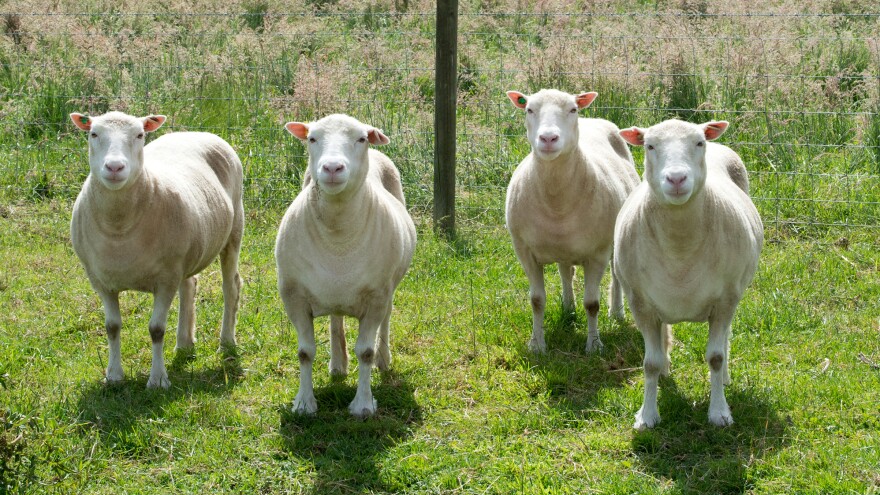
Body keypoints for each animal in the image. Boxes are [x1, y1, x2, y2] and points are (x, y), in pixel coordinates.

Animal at [69, 111, 244, 389]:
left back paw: (226, 342)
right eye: (93, 133)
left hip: (234, 230)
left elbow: (156, 329)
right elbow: (112, 327)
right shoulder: (100, 280)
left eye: (140, 135)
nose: (115, 167)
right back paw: (184, 343)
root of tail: (196, 132)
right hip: (186, 253)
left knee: (231, 287)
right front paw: (114, 375)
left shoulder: (165, 279)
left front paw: (158, 379)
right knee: (189, 285)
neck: (119, 227)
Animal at [275, 113, 416, 418]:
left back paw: (383, 360)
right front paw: (304, 403)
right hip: (332, 291)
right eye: (312, 138)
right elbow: (304, 352)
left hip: (389, 288)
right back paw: (338, 364)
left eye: (361, 138)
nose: (332, 167)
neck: (337, 233)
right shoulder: (293, 295)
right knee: (335, 318)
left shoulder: (376, 296)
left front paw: (363, 404)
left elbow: (365, 352)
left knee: (386, 321)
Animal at [504, 89, 641, 354]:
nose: (548, 138)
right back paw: (568, 308)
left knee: (616, 275)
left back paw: (617, 312)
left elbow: (592, 304)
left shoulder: (597, 253)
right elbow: (536, 300)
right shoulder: (524, 251)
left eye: (572, 109)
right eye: (529, 109)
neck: (556, 201)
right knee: (566, 271)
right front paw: (537, 344)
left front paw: (594, 345)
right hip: (563, 247)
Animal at [614, 119, 763, 429]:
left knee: (725, 339)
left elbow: (716, 357)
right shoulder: (640, 303)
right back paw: (665, 370)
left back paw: (725, 378)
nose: (676, 179)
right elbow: (649, 363)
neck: (679, 247)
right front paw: (647, 415)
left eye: (698, 143)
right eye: (650, 145)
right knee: (662, 339)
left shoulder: (725, 300)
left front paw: (719, 412)